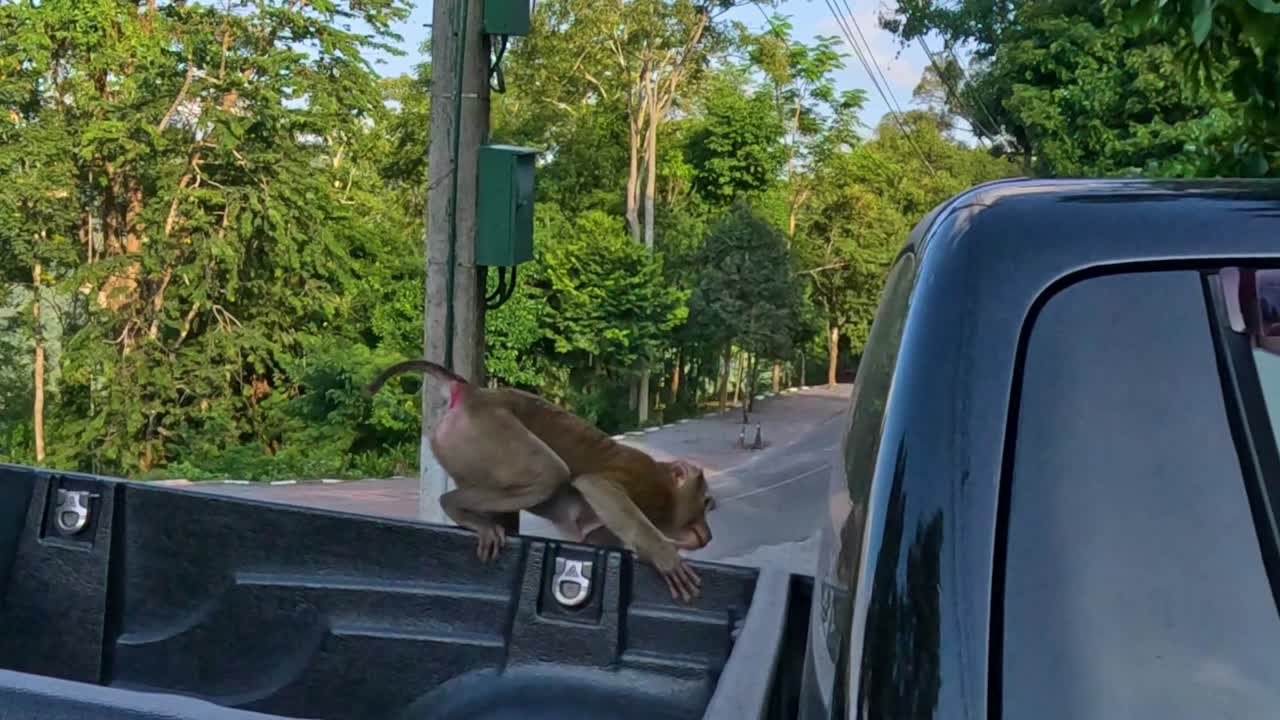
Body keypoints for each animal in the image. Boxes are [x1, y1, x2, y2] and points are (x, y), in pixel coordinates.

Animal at [364, 359, 716, 603]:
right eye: (706, 503)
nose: (708, 533)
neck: (666, 489)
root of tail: (472, 392)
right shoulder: (643, 481)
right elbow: (597, 485)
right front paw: (664, 556)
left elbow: (595, 540)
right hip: (486, 431)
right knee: (551, 473)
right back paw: (455, 507)